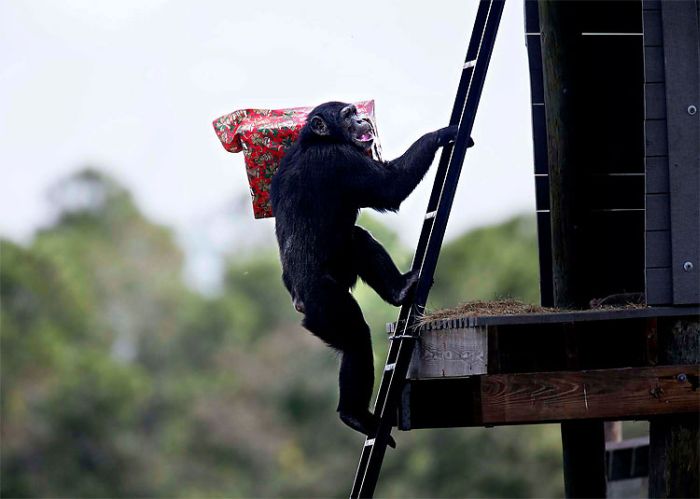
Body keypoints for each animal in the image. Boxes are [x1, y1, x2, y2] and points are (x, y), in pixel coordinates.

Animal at [270, 100, 462, 442]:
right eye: (348, 115)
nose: (363, 119)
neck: (317, 141)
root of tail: (298, 300)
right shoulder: (339, 160)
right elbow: (389, 187)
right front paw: (444, 133)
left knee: (357, 239)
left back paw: (398, 290)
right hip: (326, 303)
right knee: (356, 340)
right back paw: (355, 416)